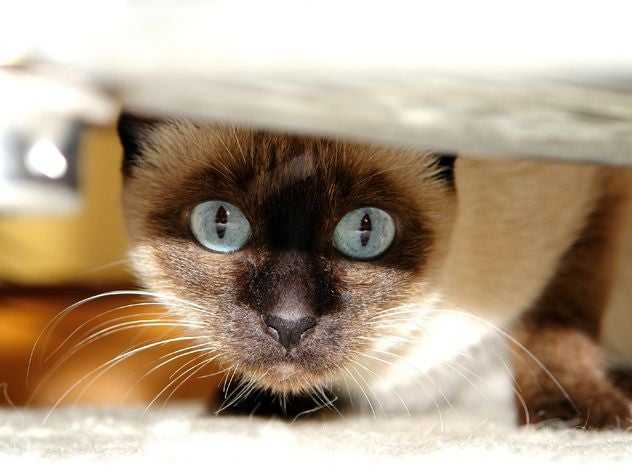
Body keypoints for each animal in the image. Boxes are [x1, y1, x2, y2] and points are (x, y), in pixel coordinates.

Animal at [117, 116, 632, 432]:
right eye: (220, 225)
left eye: (365, 231)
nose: (289, 322)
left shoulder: (598, 185)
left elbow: (555, 320)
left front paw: (571, 418)